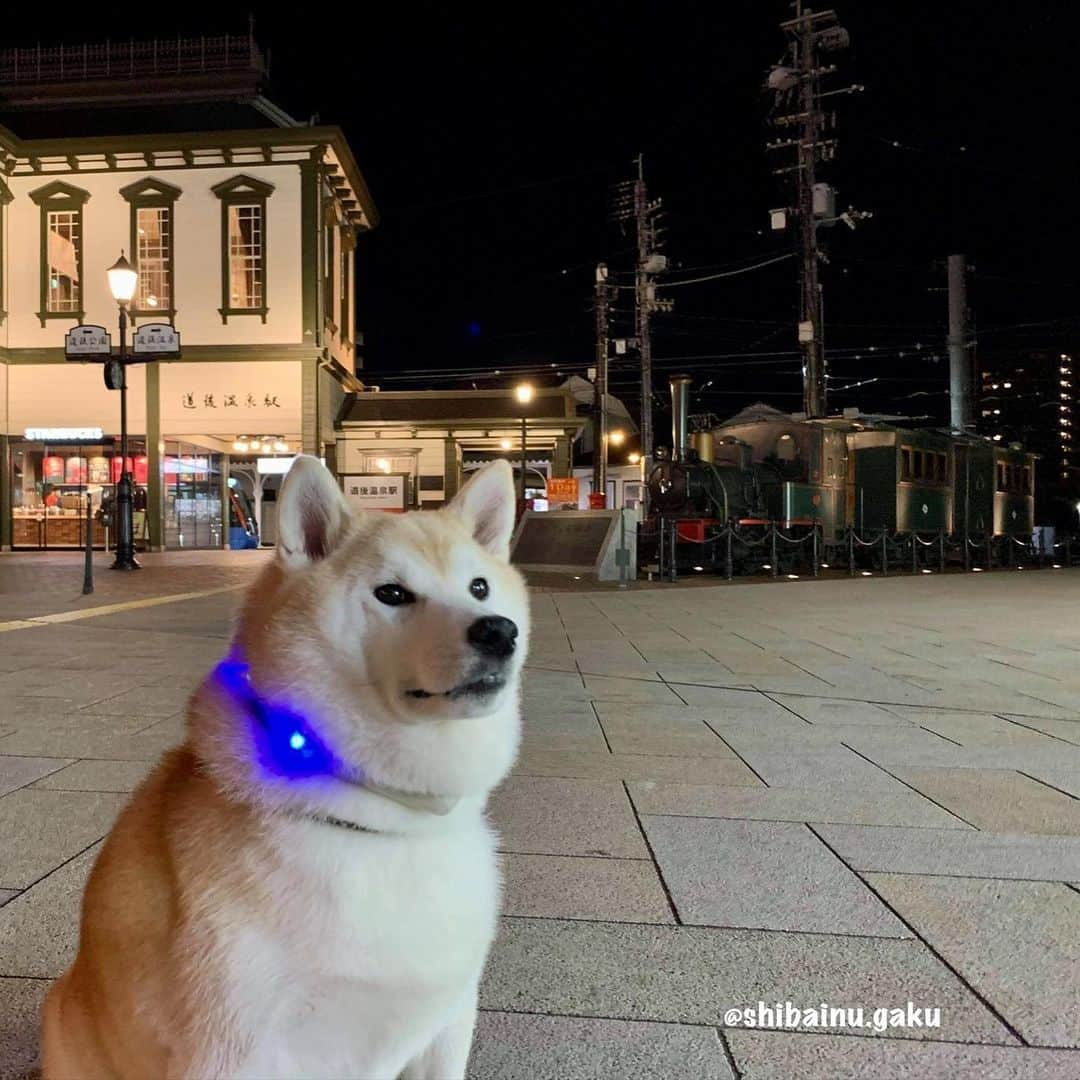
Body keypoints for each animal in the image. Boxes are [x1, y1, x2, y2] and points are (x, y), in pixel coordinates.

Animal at [41, 457, 527, 1080]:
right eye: (392, 593)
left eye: (479, 588)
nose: (498, 630)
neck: (387, 822)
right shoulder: (232, 1046)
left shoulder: (447, 1020)